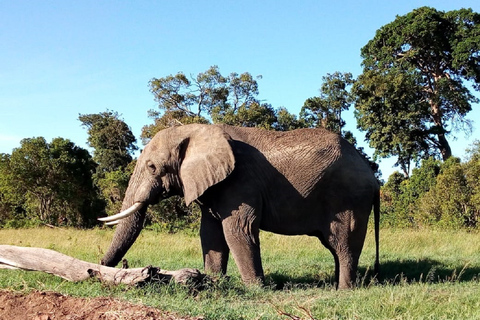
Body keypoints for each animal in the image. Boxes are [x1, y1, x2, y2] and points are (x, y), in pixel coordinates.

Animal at [99, 124, 380, 288]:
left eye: (152, 167)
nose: (100, 267)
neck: (197, 130)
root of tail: (372, 175)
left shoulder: (241, 182)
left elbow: (237, 231)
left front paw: (255, 289)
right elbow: (210, 233)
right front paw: (213, 281)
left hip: (349, 199)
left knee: (344, 244)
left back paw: (344, 290)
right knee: (334, 246)